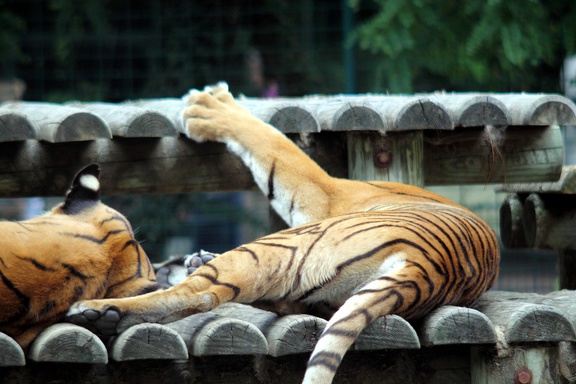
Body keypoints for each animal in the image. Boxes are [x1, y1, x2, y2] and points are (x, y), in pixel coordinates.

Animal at [66, 82, 500, 382]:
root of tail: (427, 268)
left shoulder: (324, 190)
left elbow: (273, 143)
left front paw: (210, 107)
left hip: (282, 244)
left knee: (202, 294)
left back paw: (100, 311)